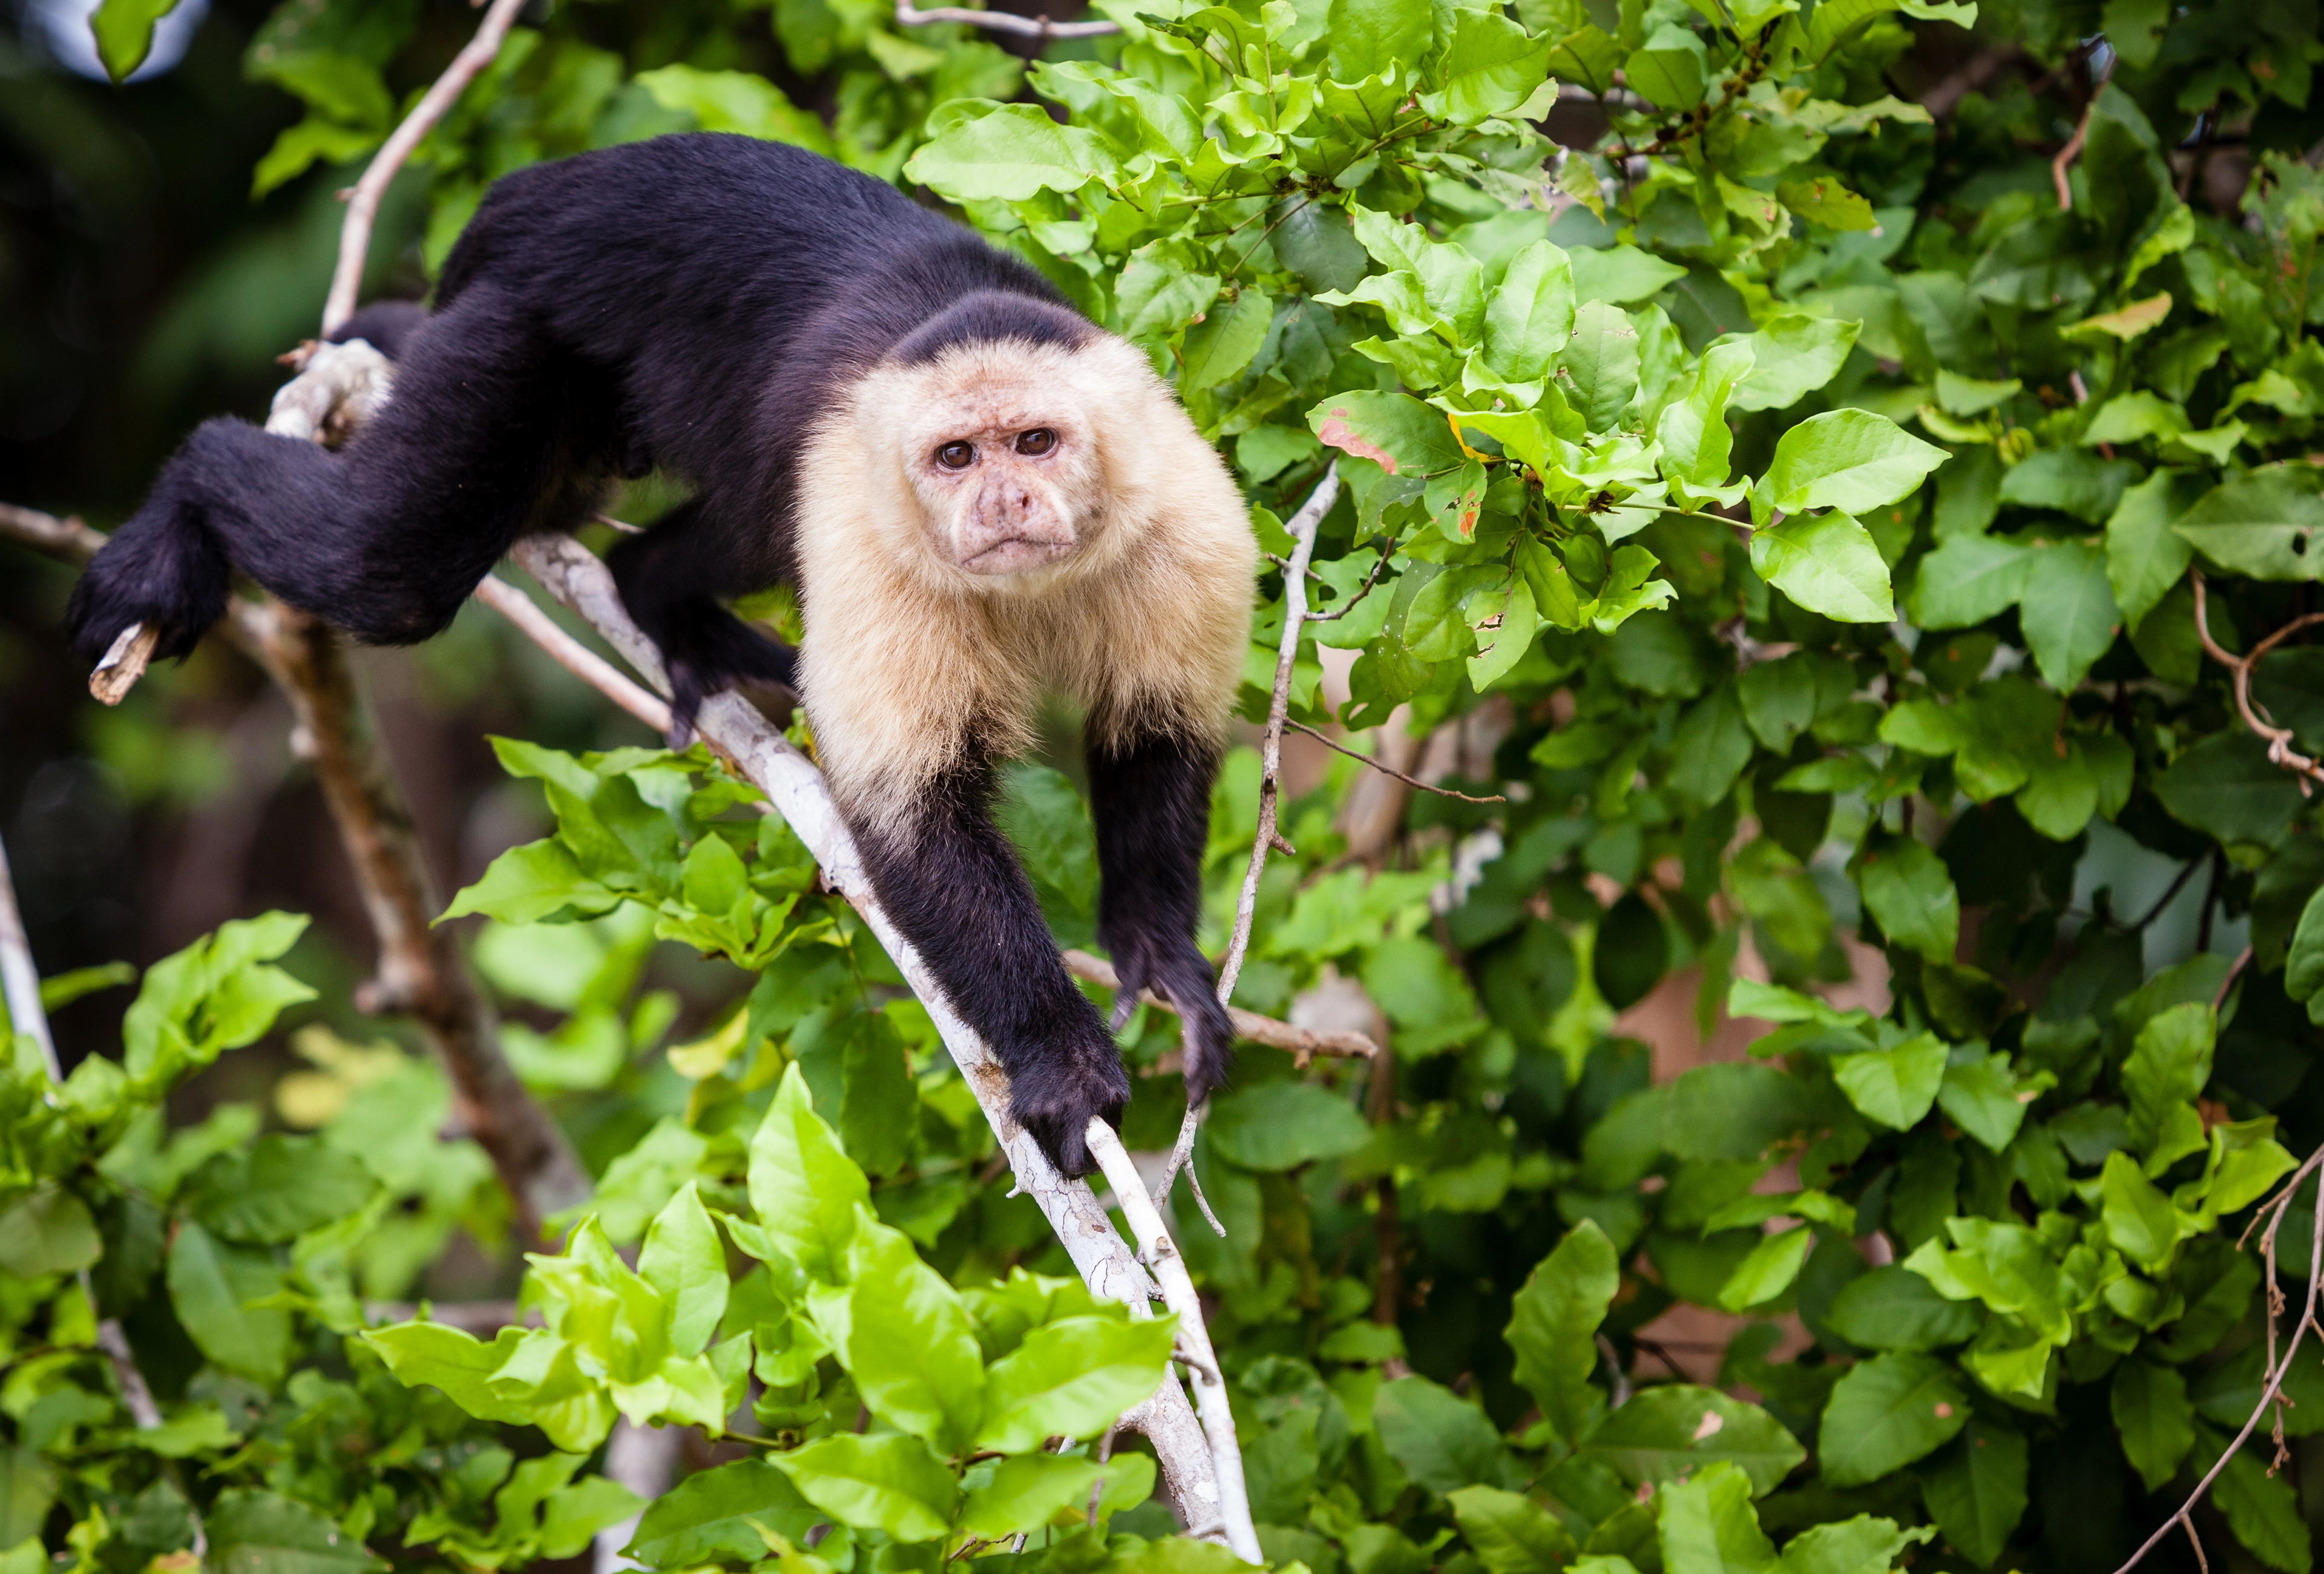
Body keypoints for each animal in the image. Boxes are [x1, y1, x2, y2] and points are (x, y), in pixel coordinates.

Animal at [73, 131, 1264, 1167]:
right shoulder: (867, 522)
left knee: (728, 514)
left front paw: (1160, 960)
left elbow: (1158, 735)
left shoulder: (1190, 516)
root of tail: (538, 191)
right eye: (957, 457)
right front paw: (1061, 1063)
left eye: (1035, 442)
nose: (1004, 501)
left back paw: (660, 596)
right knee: (391, 567)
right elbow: (911, 818)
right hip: (512, 325)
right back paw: (183, 504)